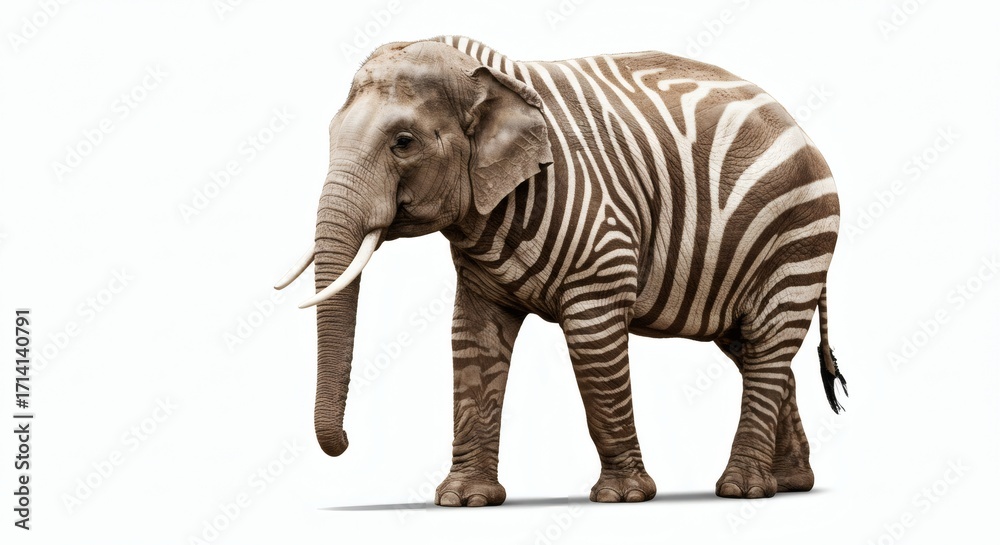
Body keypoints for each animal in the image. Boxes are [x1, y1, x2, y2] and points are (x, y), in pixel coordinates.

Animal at [275, 35, 847, 506]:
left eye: (403, 142)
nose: (345, 444)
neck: (485, 75)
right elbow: (474, 340)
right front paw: (464, 501)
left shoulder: (599, 224)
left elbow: (593, 343)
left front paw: (623, 498)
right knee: (751, 346)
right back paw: (790, 484)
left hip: (797, 231)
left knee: (769, 341)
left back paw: (742, 491)